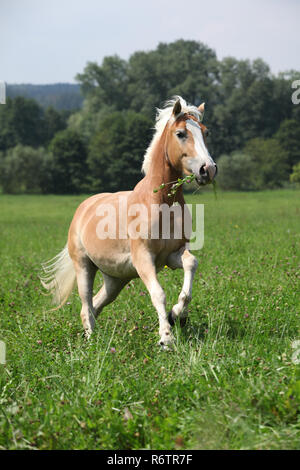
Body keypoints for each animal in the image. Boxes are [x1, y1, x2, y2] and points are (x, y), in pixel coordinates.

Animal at [41, 95, 217, 346]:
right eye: (181, 133)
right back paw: (92, 342)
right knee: (85, 305)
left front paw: (176, 315)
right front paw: (166, 338)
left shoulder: (171, 255)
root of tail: (83, 208)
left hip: (115, 280)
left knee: (96, 304)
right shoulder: (143, 257)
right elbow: (158, 294)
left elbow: (191, 264)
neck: (160, 202)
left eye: (205, 132)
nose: (208, 170)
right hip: (84, 266)